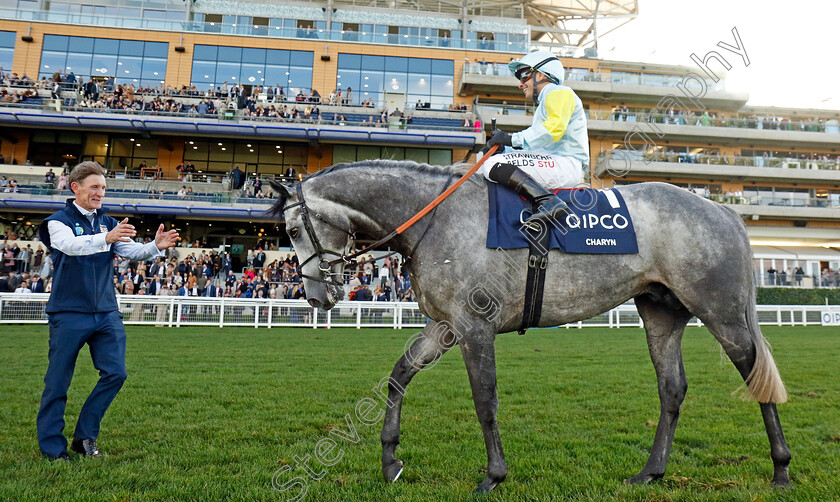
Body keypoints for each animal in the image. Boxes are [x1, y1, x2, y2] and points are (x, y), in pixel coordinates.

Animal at [272, 162, 792, 494]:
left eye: (294, 231)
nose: (316, 297)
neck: (435, 218)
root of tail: (720, 209)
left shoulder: (474, 326)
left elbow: (485, 399)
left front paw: (493, 475)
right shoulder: (444, 325)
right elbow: (399, 377)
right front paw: (390, 459)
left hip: (721, 311)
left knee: (754, 375)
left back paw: (781, 470)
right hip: (661, 313)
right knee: (672, 388)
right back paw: (651, 472)